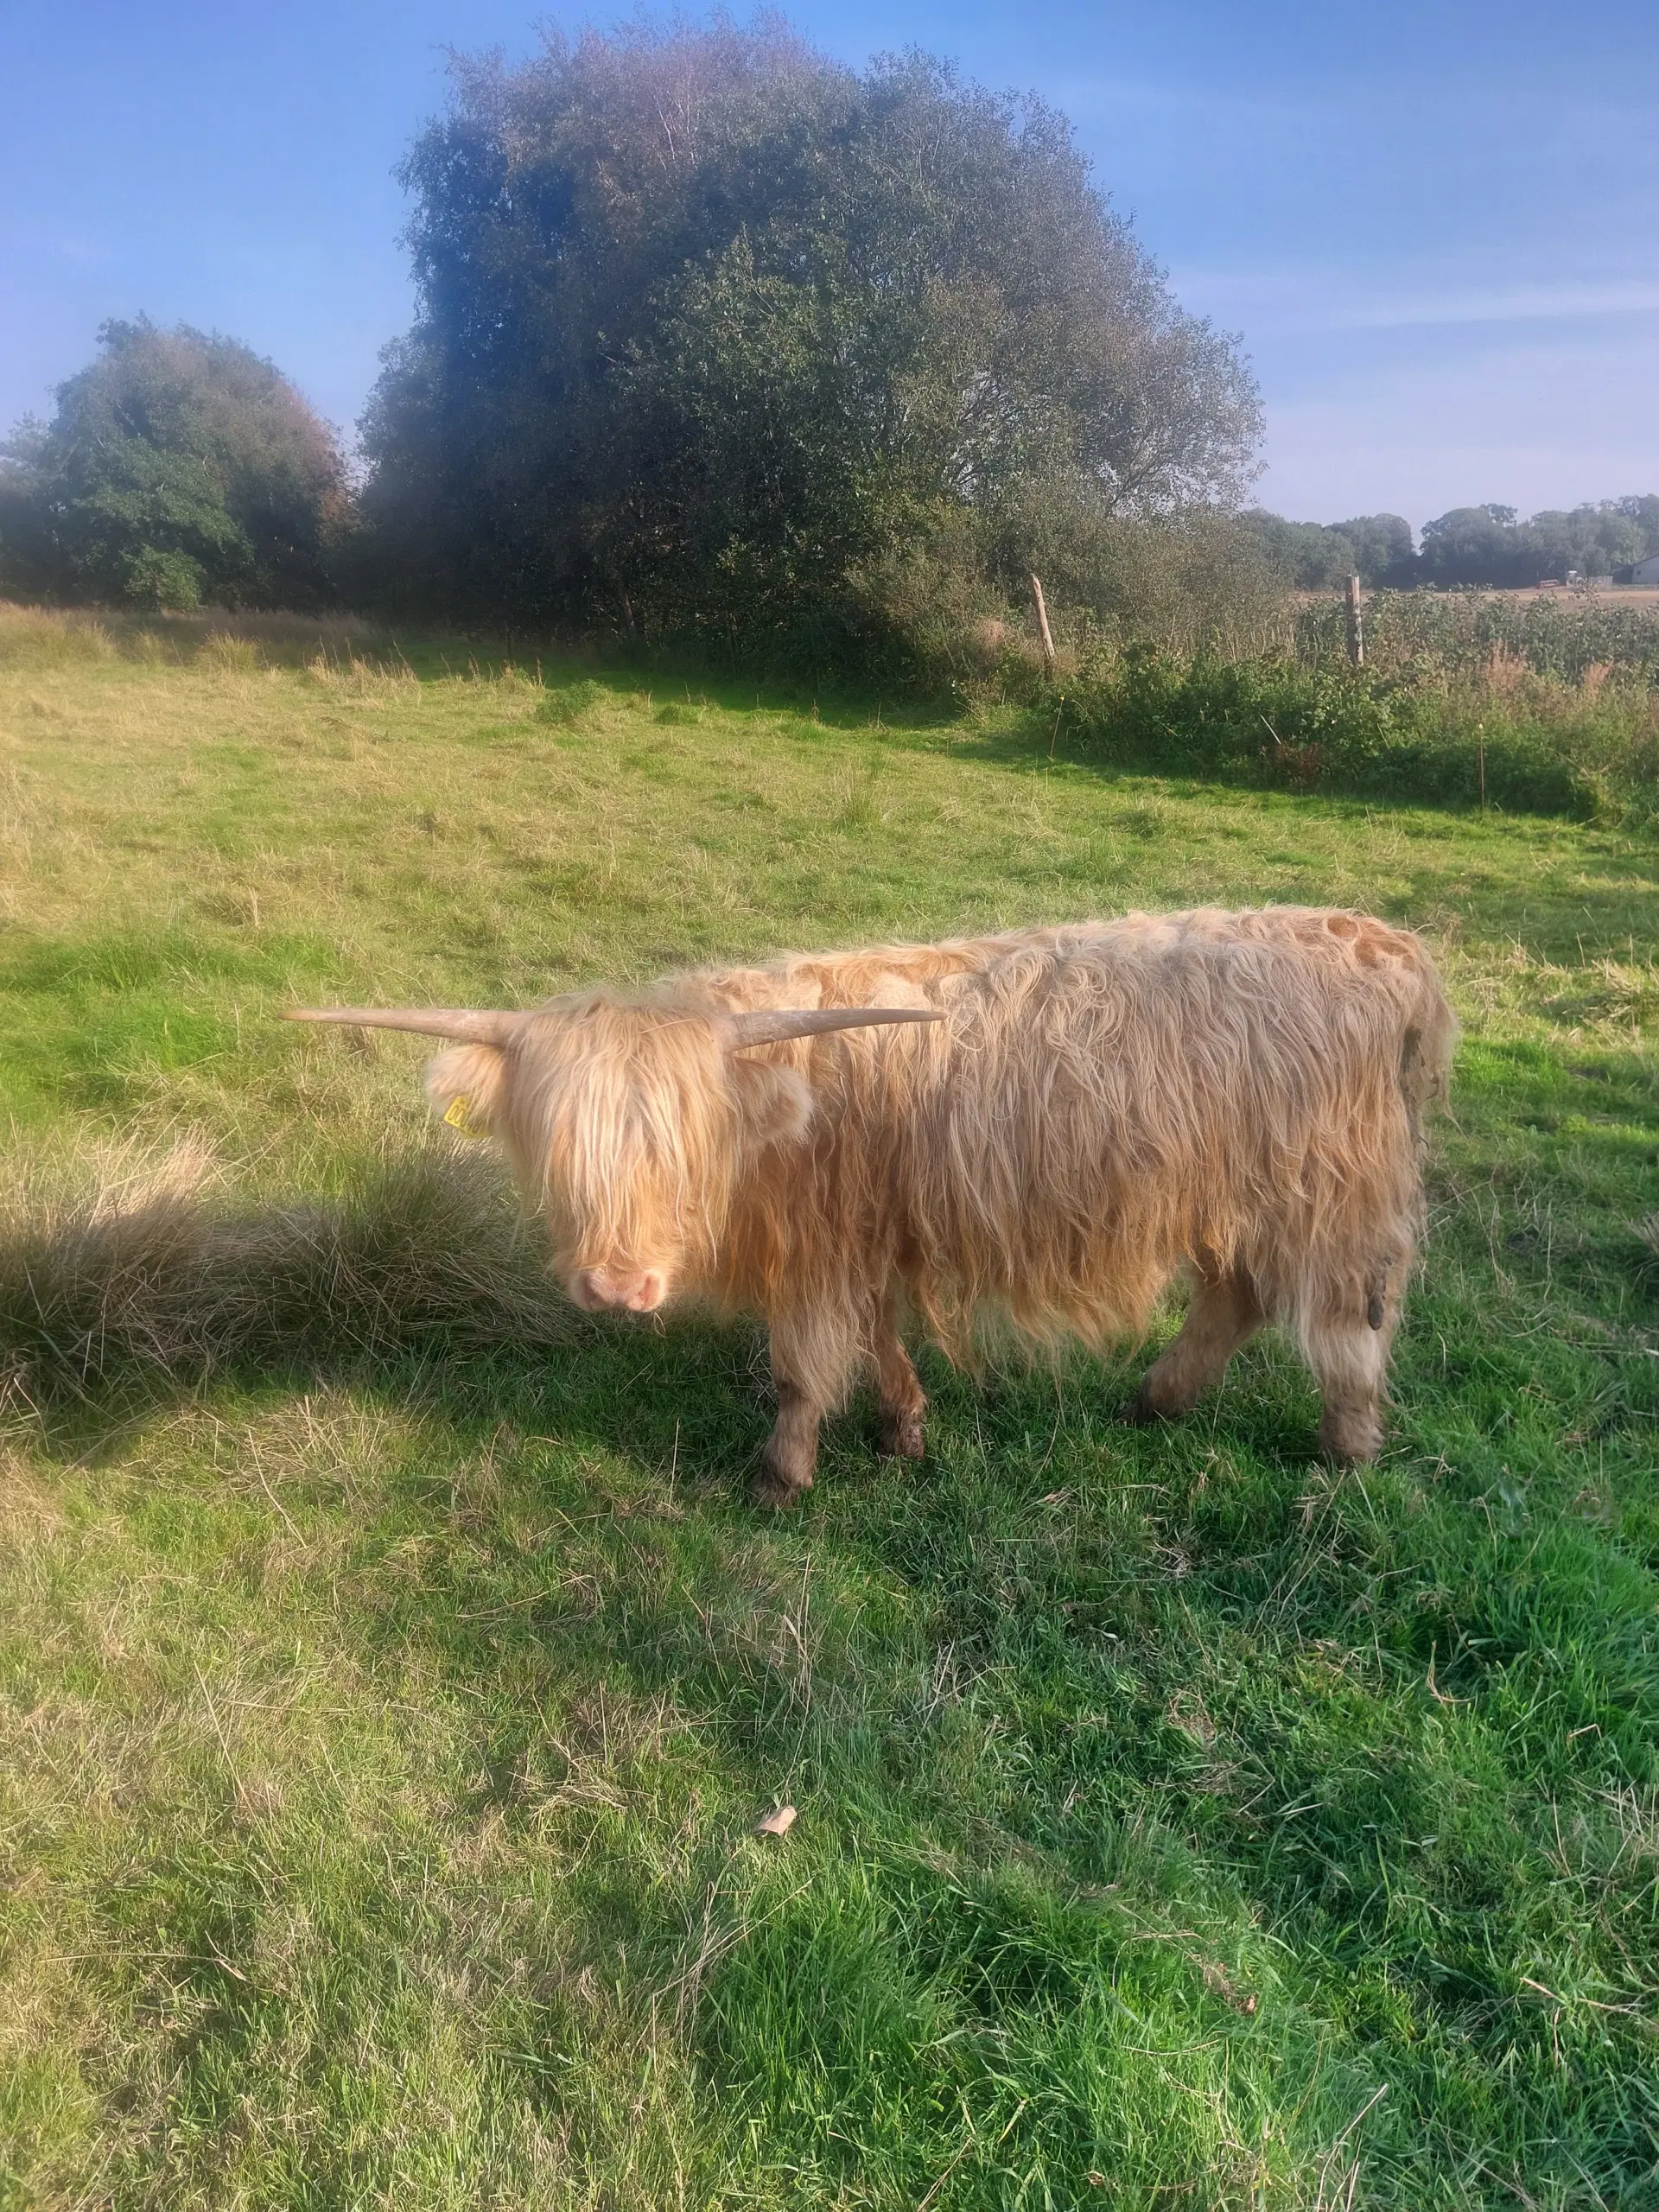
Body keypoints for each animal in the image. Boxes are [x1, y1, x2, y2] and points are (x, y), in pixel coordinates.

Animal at [291, 902, 1459, 1503]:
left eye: (679, 1149)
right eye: (562, 1151)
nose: (618, 1286)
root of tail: (1386, 942)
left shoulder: (821, 1248)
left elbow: (805, 1364)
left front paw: (781, 1476)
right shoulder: (866, 1234)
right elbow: (880, 1335)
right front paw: (904, 1428)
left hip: (1331, 1194)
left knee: (1342, 1318)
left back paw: (1347, 1450)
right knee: (1238, 1295)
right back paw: (1155, 1400)